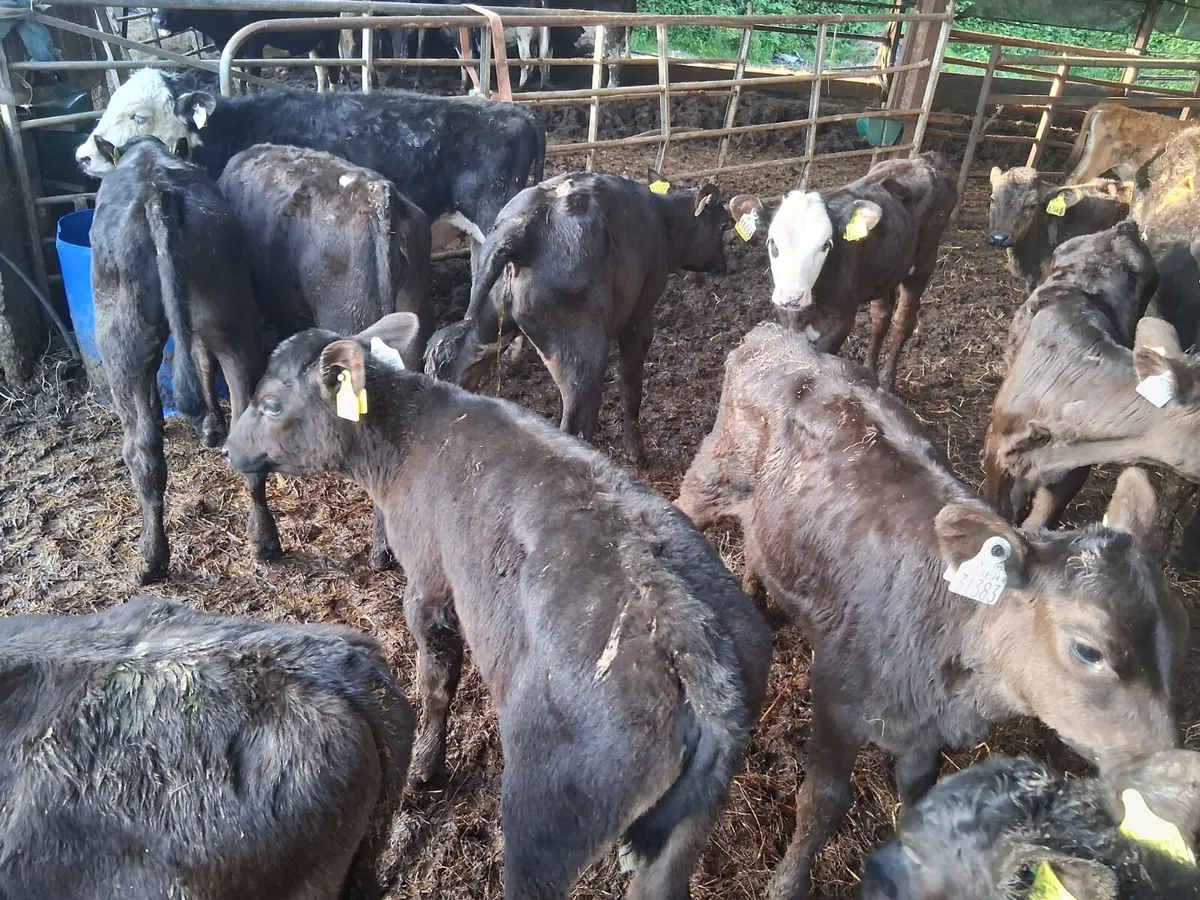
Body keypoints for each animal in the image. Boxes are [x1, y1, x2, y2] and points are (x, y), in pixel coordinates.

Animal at [90, 135, 278, 584]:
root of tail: (157, 194)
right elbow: (201, 362)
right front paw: (210, 427)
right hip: (229, 320)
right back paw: (263, 540)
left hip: (120, 341)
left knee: (140, 448)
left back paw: (151, 556)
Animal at [151, 8, 341, 92]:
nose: (157, 21)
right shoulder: (231, 49)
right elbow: (238, 80)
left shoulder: (254, 48)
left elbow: (252, 81)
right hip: (314, 43)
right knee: (321, 71)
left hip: (331, 37)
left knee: (333, 70)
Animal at [222, 311, 772, 899]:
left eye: (271, 403)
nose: (228, 448)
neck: (405, 442)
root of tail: (685, 630)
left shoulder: (429, 585)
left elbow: (437, 681)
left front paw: (425, 768)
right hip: (685, 827)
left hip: (546, 812)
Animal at [424, 170, 728, 466]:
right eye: (724, 225)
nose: (724, 264)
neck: (661, 220)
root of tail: (527, 226)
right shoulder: (639, 320)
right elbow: (631, 389)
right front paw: (636, 453)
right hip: (582, 356)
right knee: (576, 422)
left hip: (489, 326)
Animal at [726, 151, 956, 391]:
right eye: (773, 242)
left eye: (825, 245)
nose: (792, 297)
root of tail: (923, 160)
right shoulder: (787, 317)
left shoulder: (843, 319)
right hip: (885, 270)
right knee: (880, 317)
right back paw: (870, 371)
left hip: (924, 263)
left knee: (903, 321)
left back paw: (887, 380)